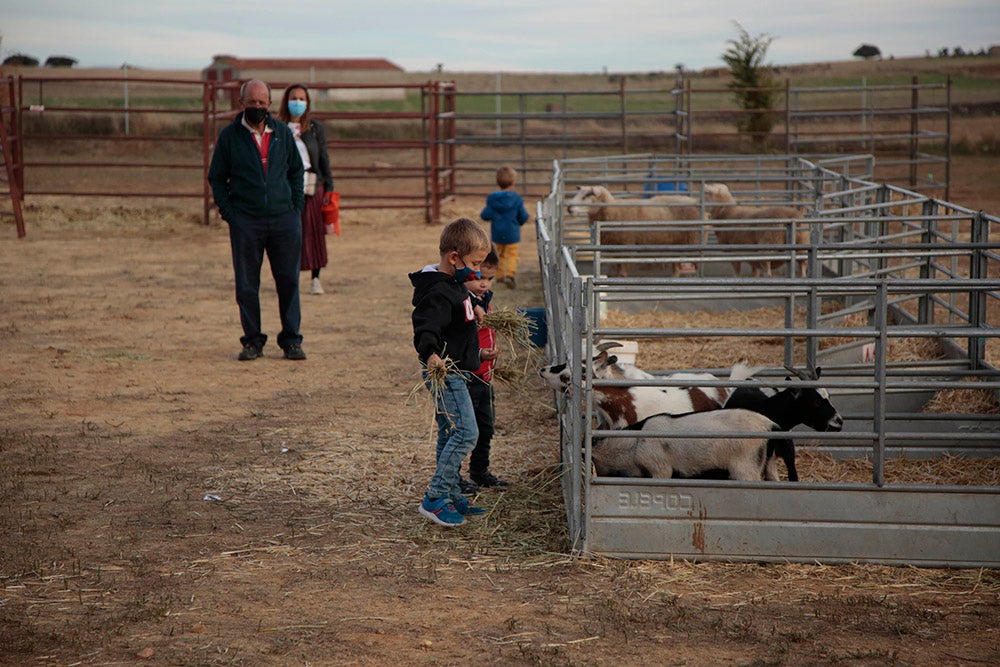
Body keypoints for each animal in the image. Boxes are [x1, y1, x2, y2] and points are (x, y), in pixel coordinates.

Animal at [568, 185, 700, 276]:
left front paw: (622, 276)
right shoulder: (616, 245)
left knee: (696, 262)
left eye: (587, 195)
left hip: (692, 239)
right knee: (676, 263)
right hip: (676, 242)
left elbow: (623, 264)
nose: (569, 208)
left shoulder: (627, 242)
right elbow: (617, 263)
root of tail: (693, 201)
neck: (614, 210)